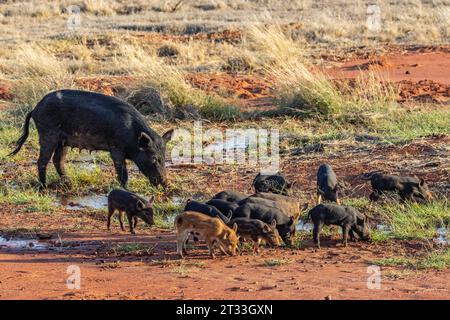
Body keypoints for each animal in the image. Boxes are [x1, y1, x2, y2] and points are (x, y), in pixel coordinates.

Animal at [9, 89, 174, 189]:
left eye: (164, 157)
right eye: (154, 159)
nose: (166, 183)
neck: (133, 135)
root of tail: (35, 109)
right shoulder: (116, 148)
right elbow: (122, 172)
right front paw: (126, 189)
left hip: (63, 141)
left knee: (58, 160)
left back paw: (68, 183)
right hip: (47, 134)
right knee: (42, 161)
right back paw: (43, 187)